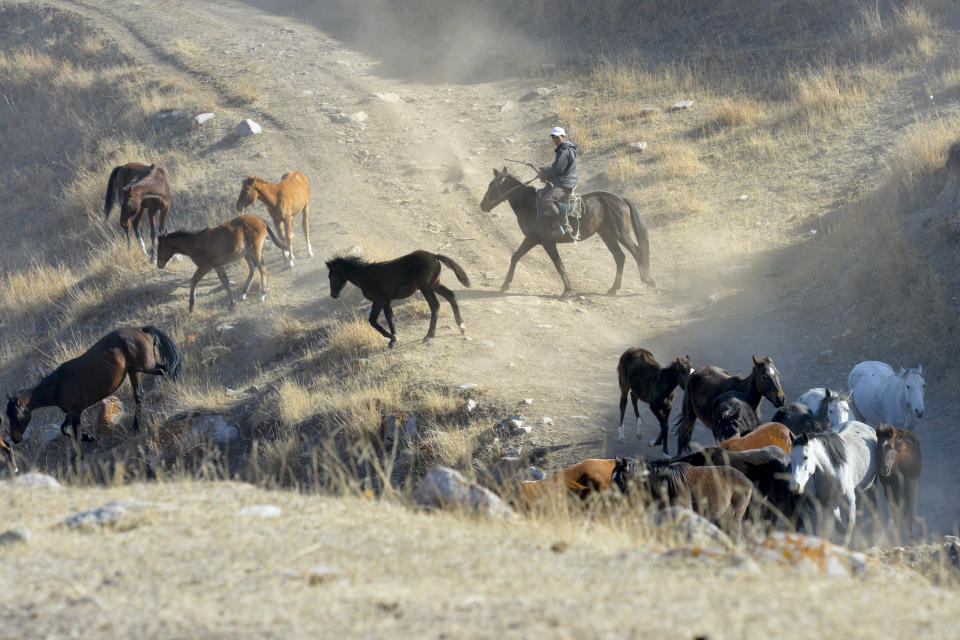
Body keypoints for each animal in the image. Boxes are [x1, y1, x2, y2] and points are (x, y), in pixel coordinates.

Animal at [6, 324, 182, 444]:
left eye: (17, 416)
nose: (15, 438)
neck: (58, 385)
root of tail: (141, 330)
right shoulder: (72, 412)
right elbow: (64, 429)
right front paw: (89, 437)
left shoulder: (75, 413)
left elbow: (73, 435)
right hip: (134, 371)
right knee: (140, 395)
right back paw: (136, 427)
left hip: (146, 367)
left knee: (168, 371)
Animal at [158, 215, 288, 312]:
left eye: (160, 247)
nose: (159, 264)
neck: (195, 243)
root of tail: (261, 220)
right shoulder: (218, 266)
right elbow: (225, 283)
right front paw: (232, 304)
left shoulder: (206, 266)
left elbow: (193, 280)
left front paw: (191, 306)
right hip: (246, 254)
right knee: (253, 268)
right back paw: (243, 293)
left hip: (255, 250)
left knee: (262, 268)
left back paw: (262, 295)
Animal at [324, 251, 470, 350]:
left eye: (332, 275)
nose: (333, 295)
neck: (366, 276)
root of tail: (434, 256)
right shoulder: (387, 301)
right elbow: (389, 317)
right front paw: (393, 339)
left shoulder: (378, 300)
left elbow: (373, 321)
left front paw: (391, 337)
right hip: (435, 284)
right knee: (451, 296)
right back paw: (461, 327)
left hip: (426, 287)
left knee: (435, 305)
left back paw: (429, 335)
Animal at [478, 170, 656, 300]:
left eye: (492, 186)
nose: (482, 205)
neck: (530, 205)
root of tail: (620, 199)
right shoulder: (532, 238)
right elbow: (515, 256)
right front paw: (505, 284)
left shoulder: (548, 242)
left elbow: (559, 264)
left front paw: (567, 290)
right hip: (607, 234)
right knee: (620, 256)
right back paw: (614, 288)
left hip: (621, 233)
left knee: (636, 251)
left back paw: (647, 280)